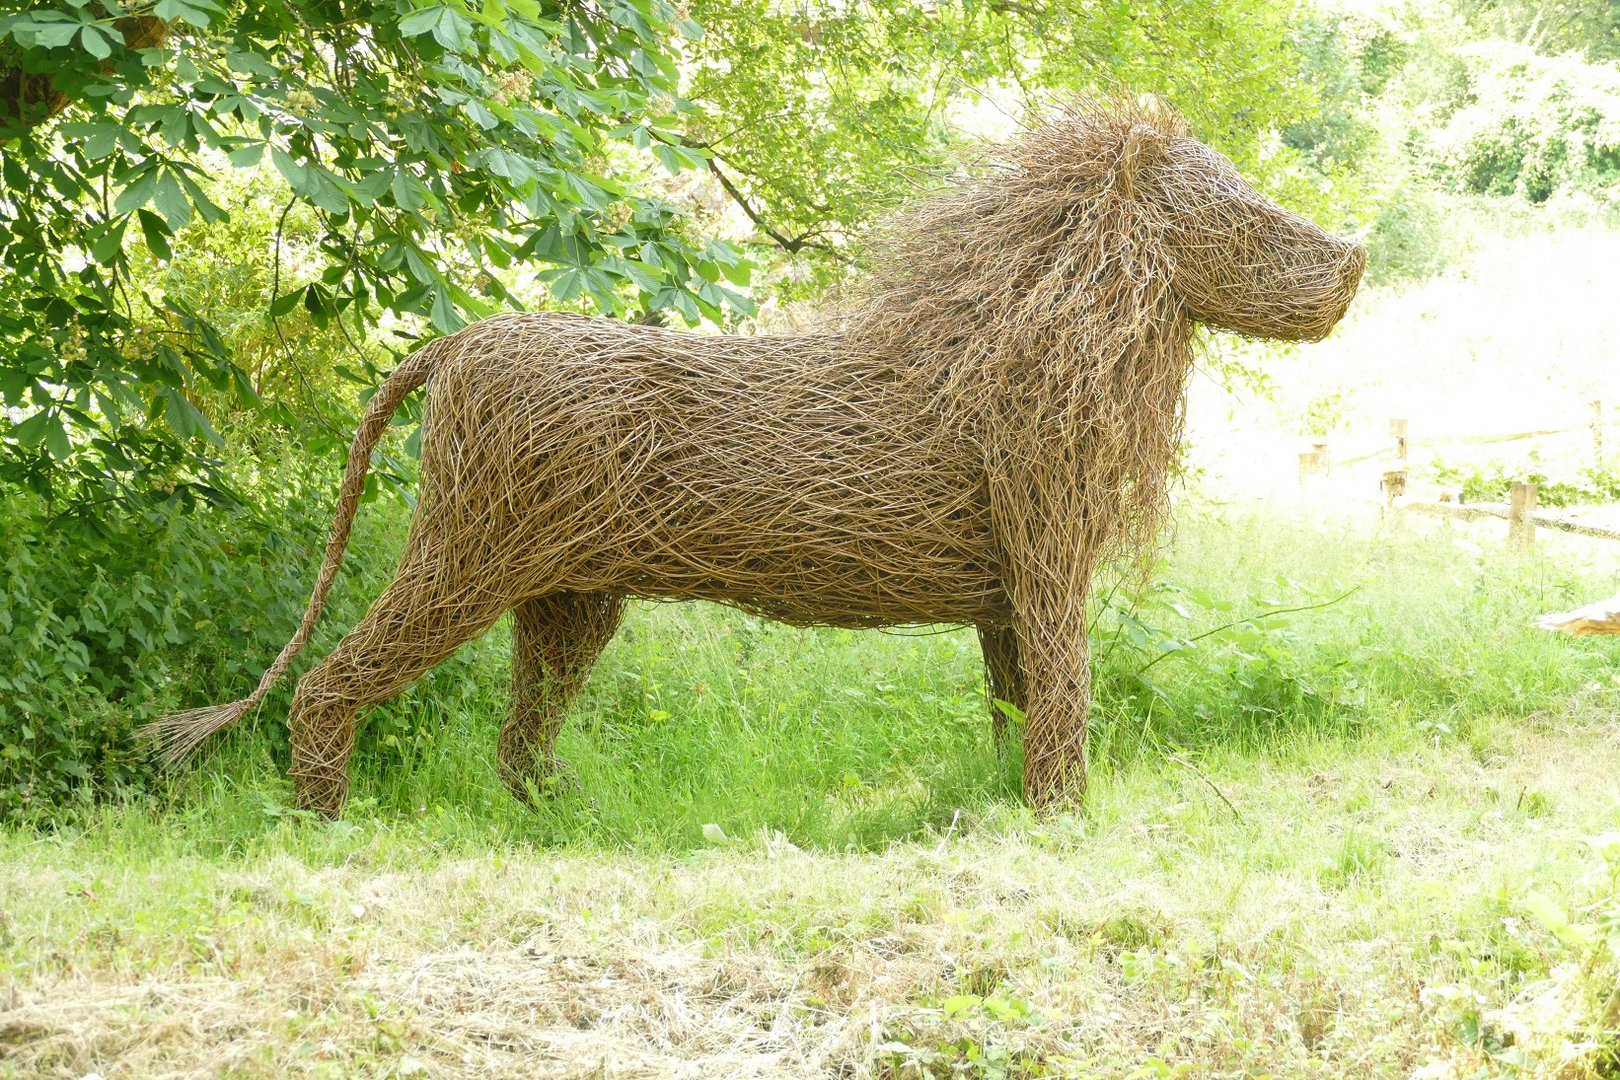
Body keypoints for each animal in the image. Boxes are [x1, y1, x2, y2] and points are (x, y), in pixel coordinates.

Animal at [147, 99, 1365, 817]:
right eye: (1251, 217)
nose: (1354, 260)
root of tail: (455, 343)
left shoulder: (1007, 598)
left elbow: (1016, 709)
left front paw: (1003, 806)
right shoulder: (1050, 569)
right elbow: (1066, 706)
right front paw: (1066, 827)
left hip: (568, 598)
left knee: (520, 733)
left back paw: (562, 818)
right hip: (467, 558)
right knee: (329, 684)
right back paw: (323, 826)